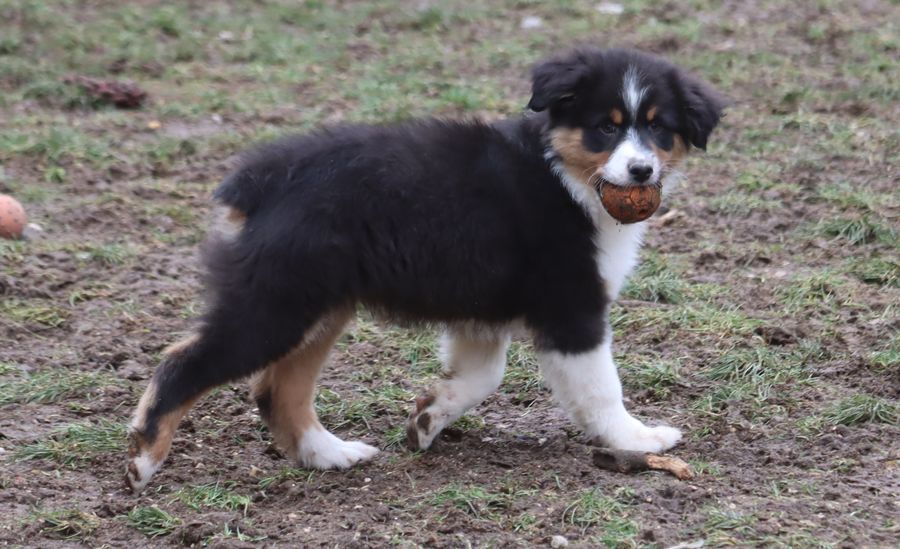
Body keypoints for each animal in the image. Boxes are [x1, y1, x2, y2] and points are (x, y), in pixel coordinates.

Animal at [123, 48, 724, 492]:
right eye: (605, 127)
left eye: (658, 129)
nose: (641, 170)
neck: (567, 179)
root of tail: (262, 178)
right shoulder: (571, 306)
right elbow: (600, 387)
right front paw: (637, 439)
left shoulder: (483, 310)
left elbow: (482, 375)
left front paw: (427, 419)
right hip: (277, 303)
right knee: (183, 363)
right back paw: (143, 460)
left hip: (319, 305)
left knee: (277, 388)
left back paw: (329, 454)